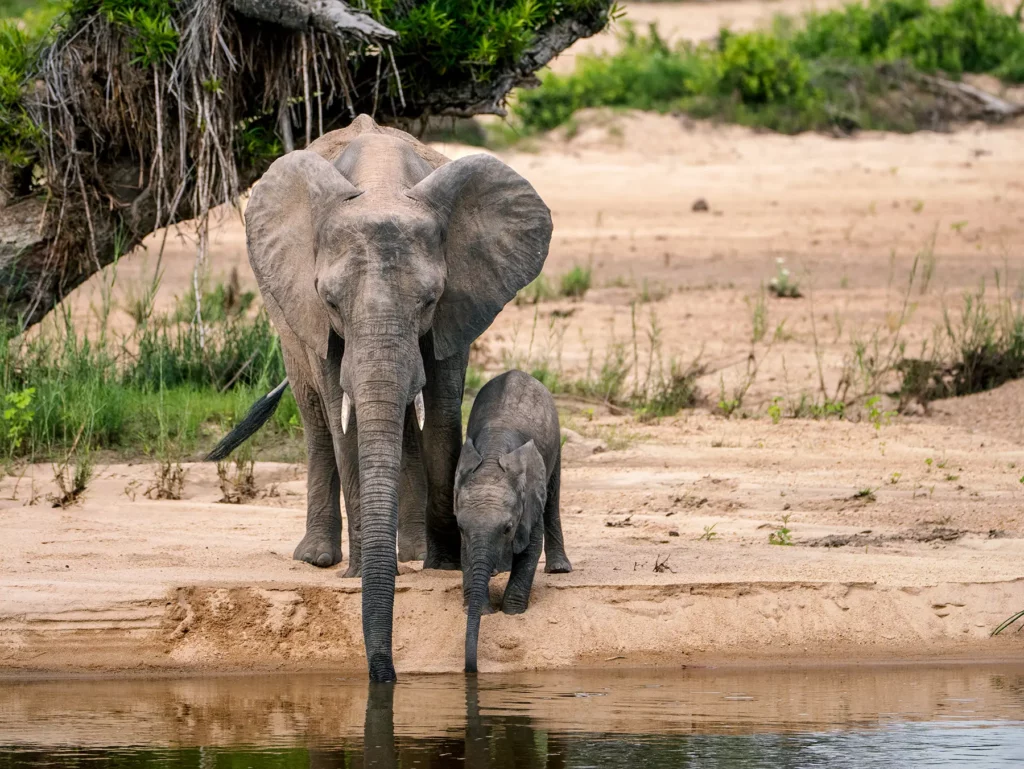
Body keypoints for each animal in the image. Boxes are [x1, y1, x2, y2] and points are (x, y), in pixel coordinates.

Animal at [205, 115, 553, 682]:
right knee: (313, 415)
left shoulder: (460, 303)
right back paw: (320, 559)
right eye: (329, 299)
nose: (385, 674)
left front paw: (442, 564)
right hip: (282, 316)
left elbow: (441, 412)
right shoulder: (313, 313)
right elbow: (339, 416)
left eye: (430, 300)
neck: (383, 185)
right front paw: (358, 571)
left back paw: (409, 551)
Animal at [453, 370, 572, 674]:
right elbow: (465, 552)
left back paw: (560, 569)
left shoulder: (528, 497)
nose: (471, 670)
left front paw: (511, 613)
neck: (493, 458)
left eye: (507, 529)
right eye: (460, 527)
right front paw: (481, 610)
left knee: (553, 496)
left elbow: (530, 548)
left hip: (555, 445)